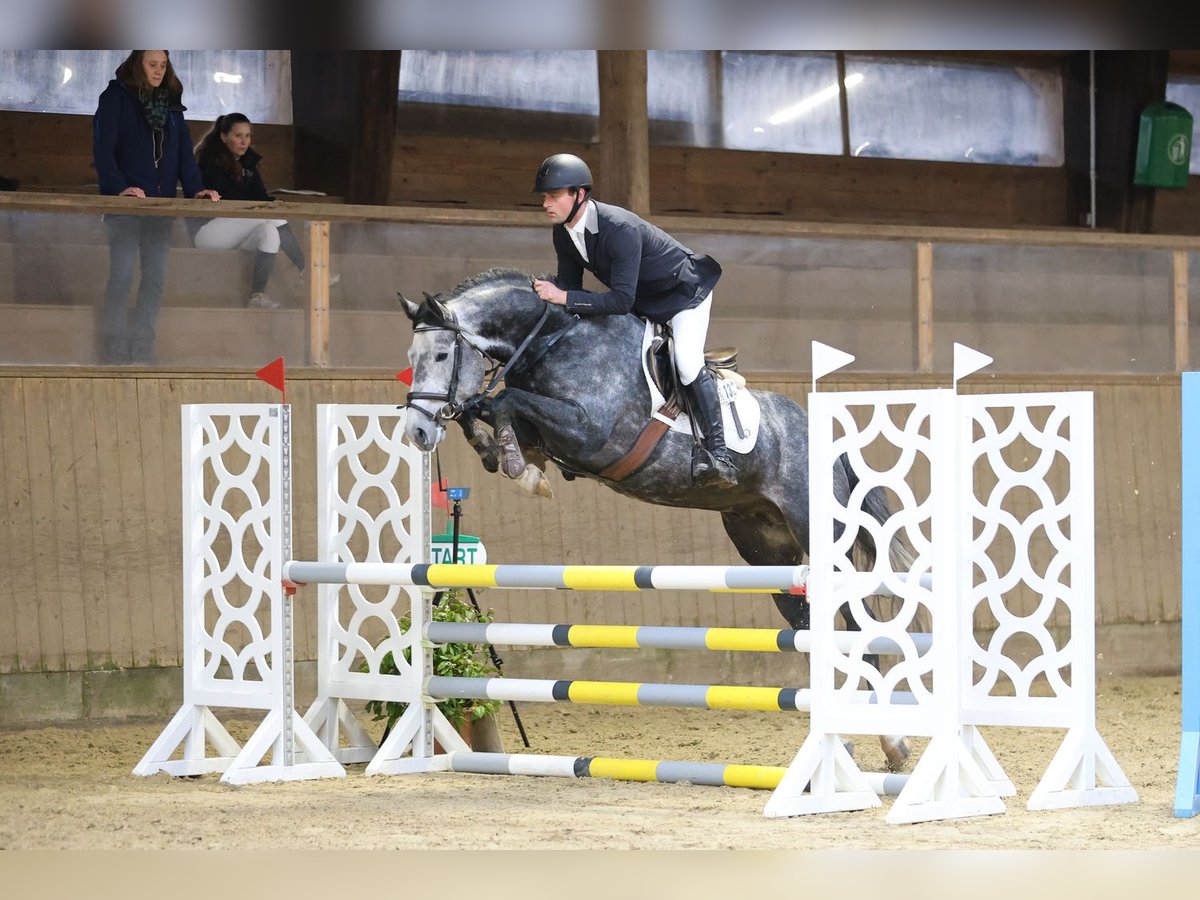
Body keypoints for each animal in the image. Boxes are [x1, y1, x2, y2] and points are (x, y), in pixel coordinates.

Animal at [399, 267, 914, 770]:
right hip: (768, 550)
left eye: (442, 354)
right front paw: (507, 458)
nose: (418, 431)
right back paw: (842, 746)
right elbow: (491, 408)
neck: (552, 340)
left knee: (860, 626)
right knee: (809, 626)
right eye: (413, 355)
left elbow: (504, 401)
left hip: (821, 535)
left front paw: (517, 466)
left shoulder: (593, 433)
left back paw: (891, 744)